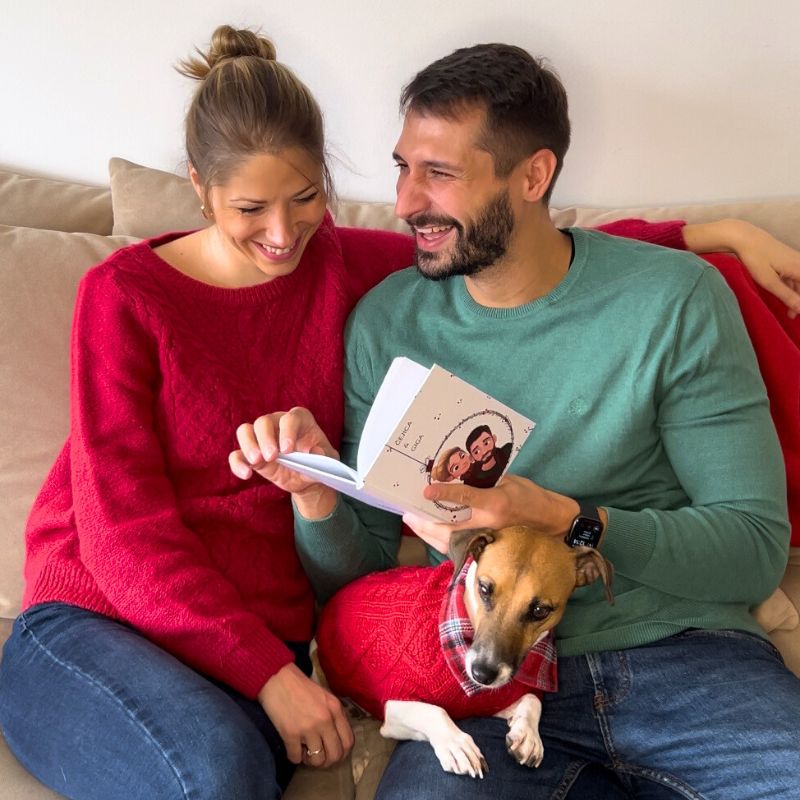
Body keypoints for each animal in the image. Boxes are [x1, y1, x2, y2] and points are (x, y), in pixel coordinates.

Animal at [316, 525, 614, 778]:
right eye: (484, 588)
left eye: (540, 610)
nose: (482, 674)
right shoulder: (394, 706)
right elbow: (433, 711)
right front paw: (456, 744)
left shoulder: (495, 699)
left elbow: (532, 700)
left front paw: (527, 733)